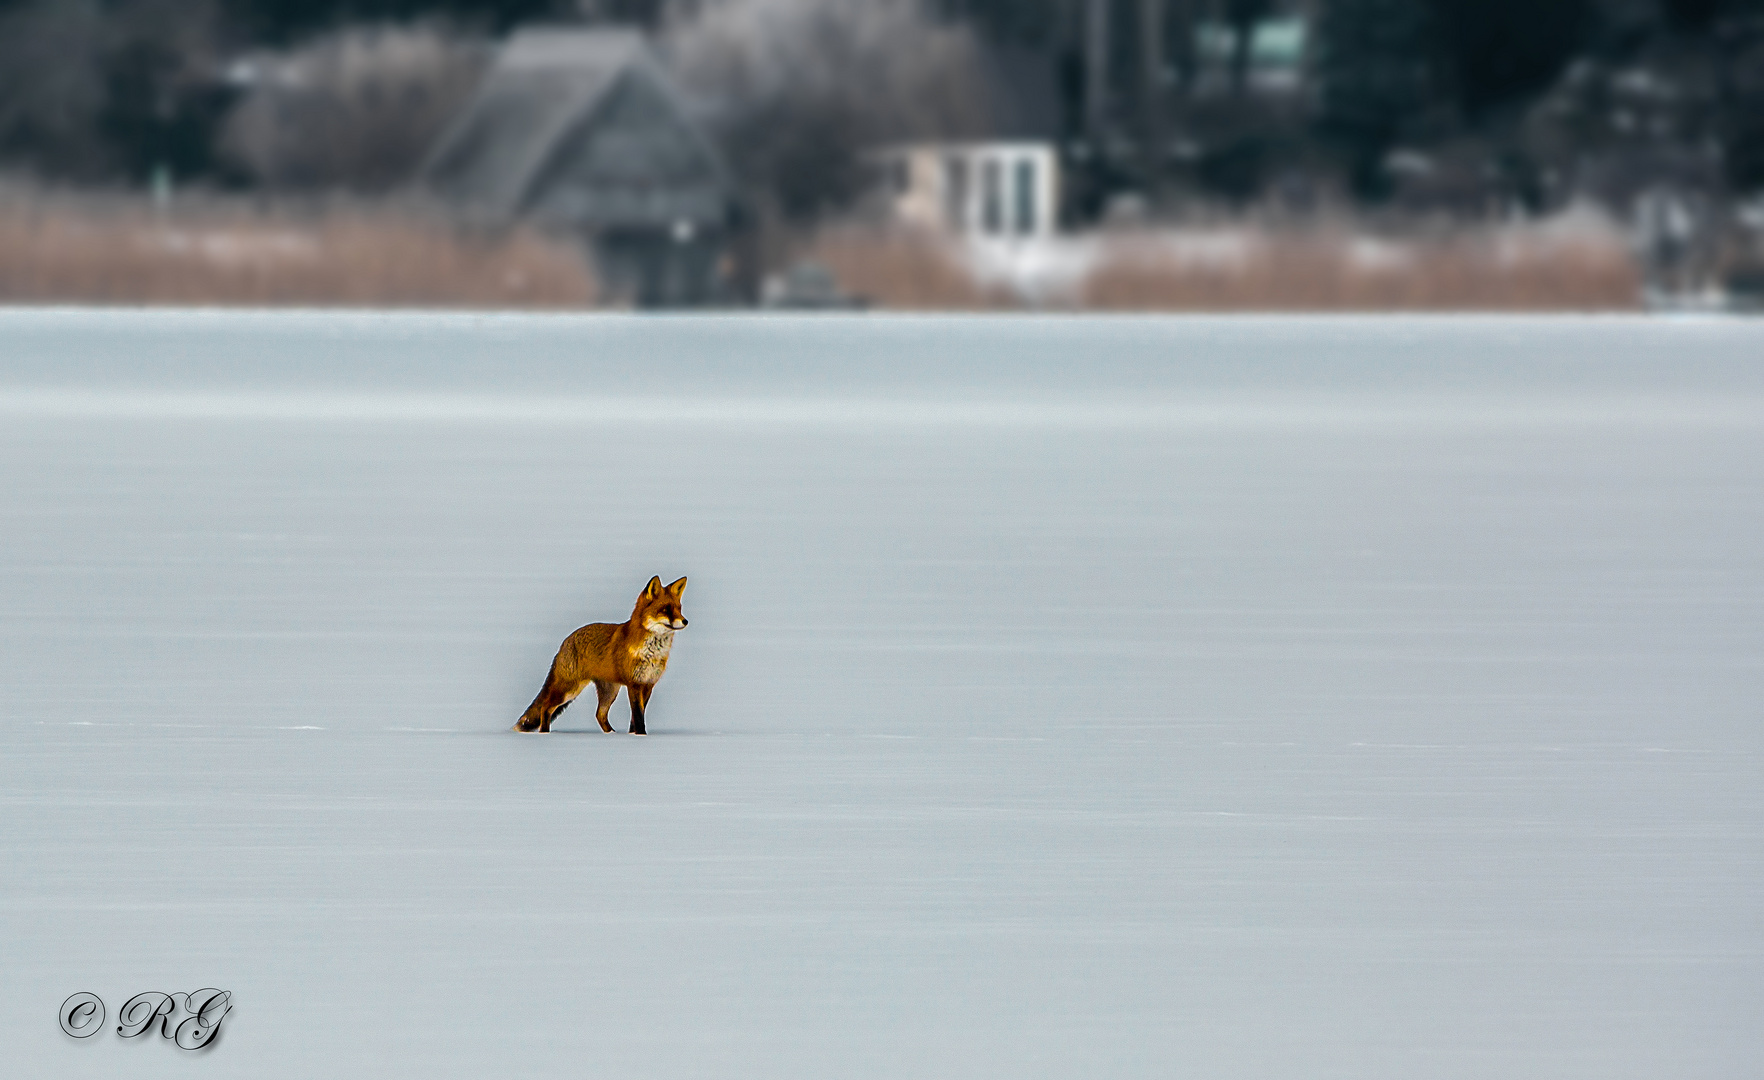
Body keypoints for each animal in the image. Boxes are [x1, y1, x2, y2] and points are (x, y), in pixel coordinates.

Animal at [515, 582, 684, 734]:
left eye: (679, 609)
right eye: (666, 609)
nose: (685, 621)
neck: (652, 652)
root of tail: (564, 643)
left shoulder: (648, 684)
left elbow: (635, 718)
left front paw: (633, 735)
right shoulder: (634, 684)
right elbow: (638, 715)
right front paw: (640, 736)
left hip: (609, 691)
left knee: (599, 714)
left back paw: (611, 734)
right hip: (569, 689)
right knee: (545, 707)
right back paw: (544, 734)